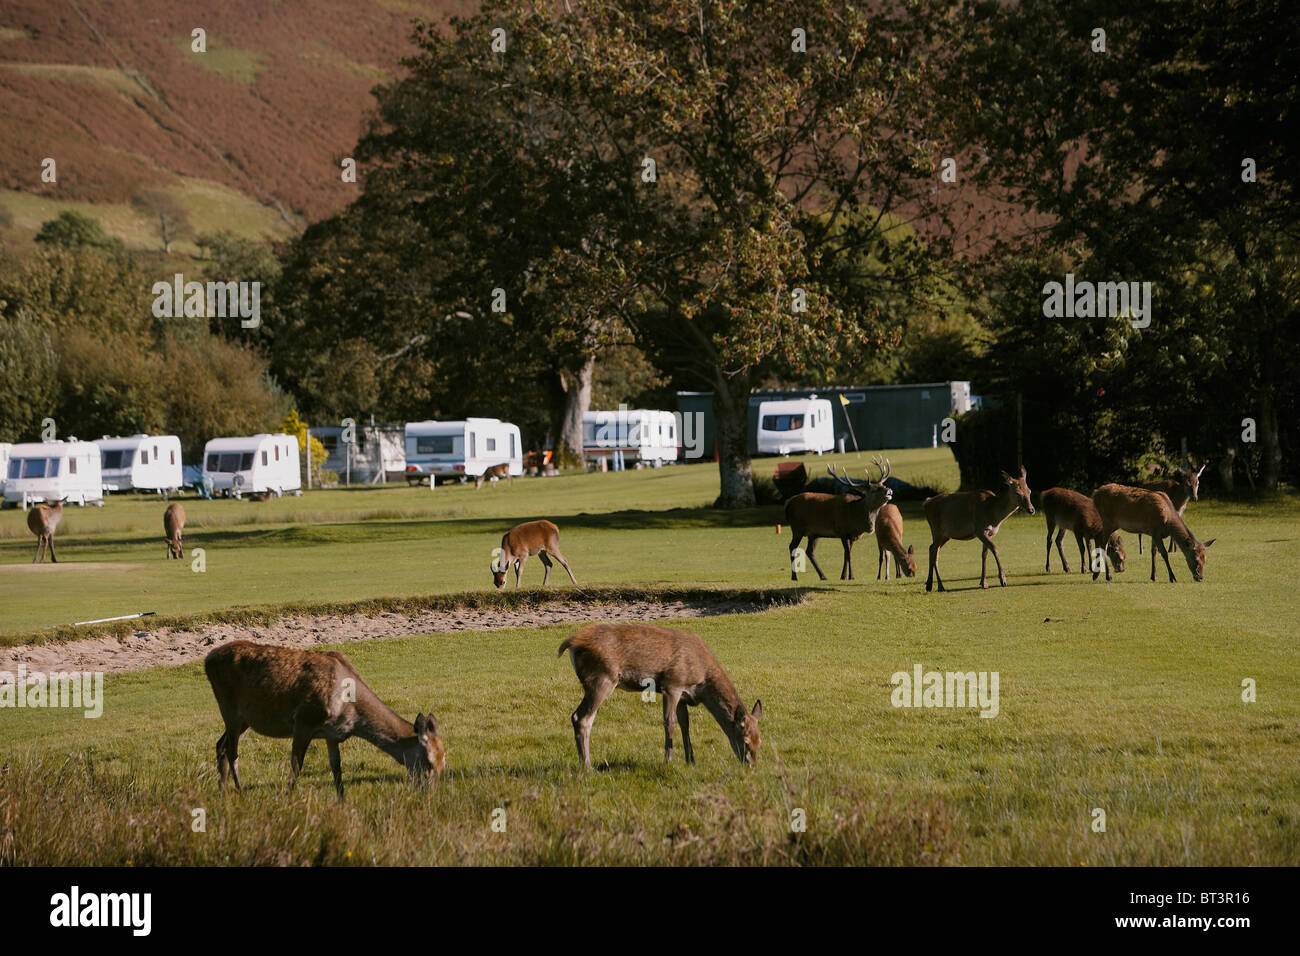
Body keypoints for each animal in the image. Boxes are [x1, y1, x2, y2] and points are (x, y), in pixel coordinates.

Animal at [203, 640, 445, 798]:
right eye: (428, 762)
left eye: (444, 762)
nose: (433, 795)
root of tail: (207, 659)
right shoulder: (304, 721)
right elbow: (296, 766)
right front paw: (288, 798)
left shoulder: (333, 735)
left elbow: (337, 769)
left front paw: (342, 801)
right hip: (229, 709)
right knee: (231, 751)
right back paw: (240, 791)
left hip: (245, 719)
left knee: (220, 744)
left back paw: (222, 791)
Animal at [557, 622, 762, 768]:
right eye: (745, 740)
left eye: (759, 740)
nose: (751, 765)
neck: (702, 682)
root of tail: (571, 643)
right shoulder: (672, 684)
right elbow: (669, 722)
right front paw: (668, 761)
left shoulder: (684, 695)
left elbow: (685, 724)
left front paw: (691, 760)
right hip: (602, 678)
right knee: (582, 718)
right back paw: (588, 766)